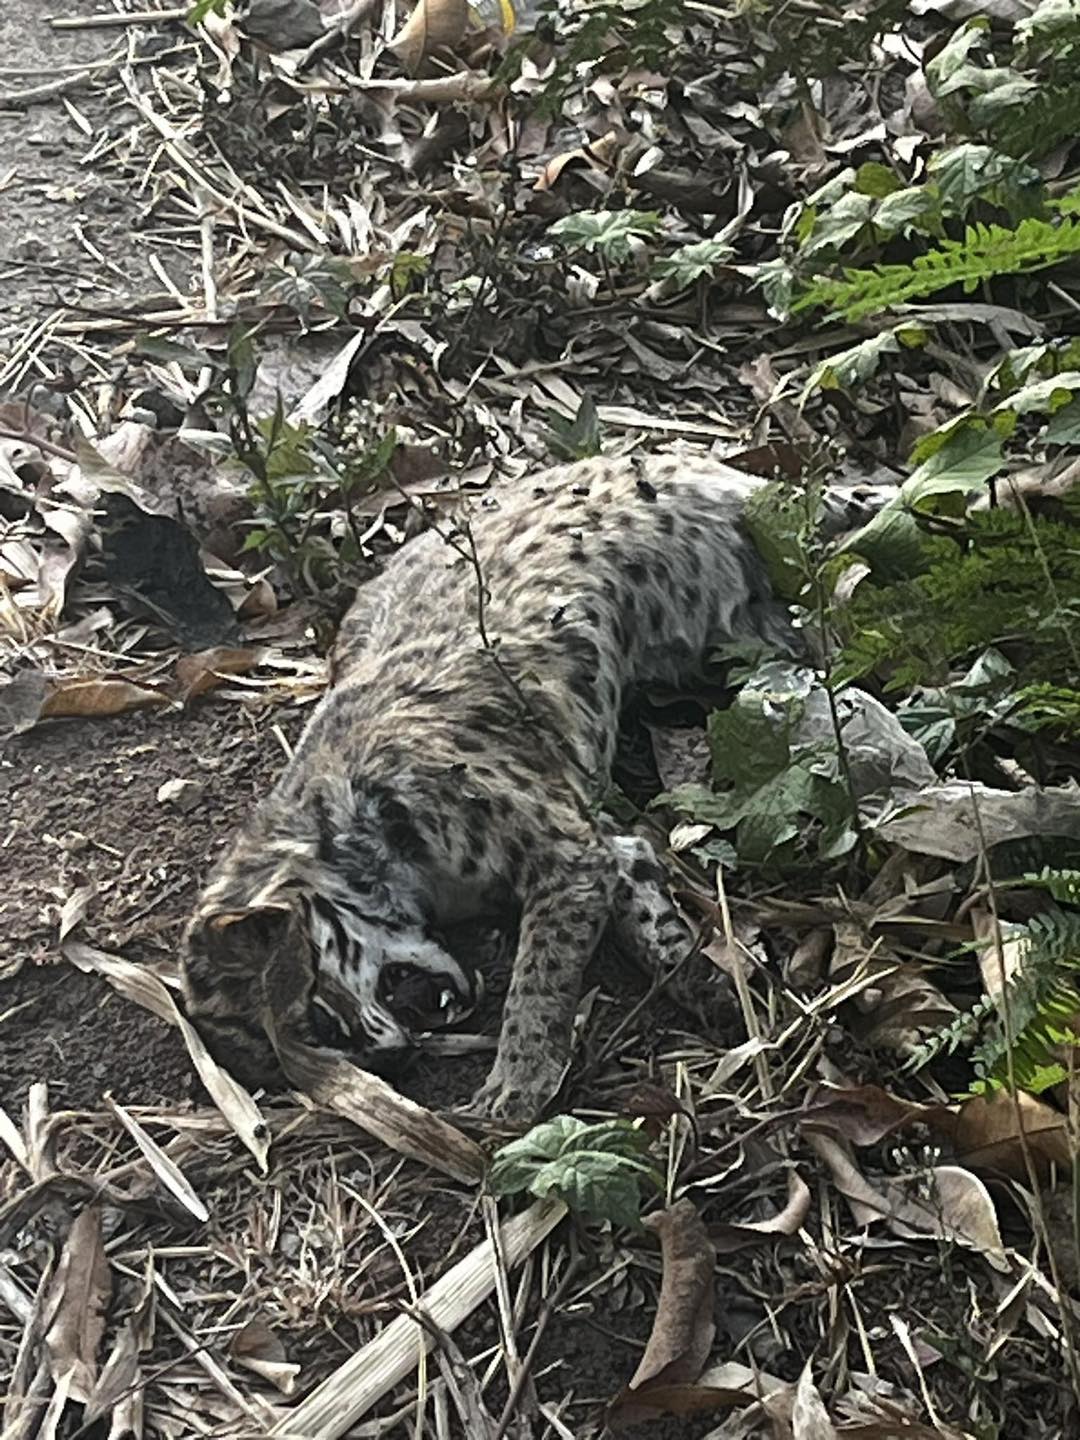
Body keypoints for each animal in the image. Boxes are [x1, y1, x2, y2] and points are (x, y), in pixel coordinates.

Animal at [181, 450, 884, 1120]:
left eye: (318, 1022)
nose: (392, 1063)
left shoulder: (566, 855)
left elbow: (537, 977)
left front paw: (517, 1081)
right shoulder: (602, 844)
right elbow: (650, 919)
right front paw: (705, 984)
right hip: (753, 633)